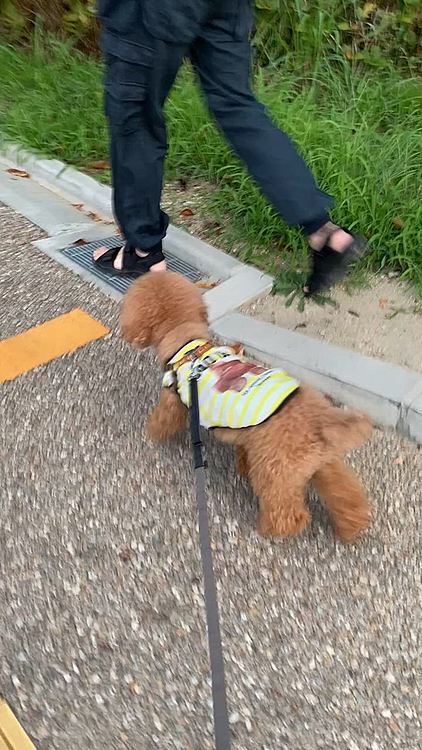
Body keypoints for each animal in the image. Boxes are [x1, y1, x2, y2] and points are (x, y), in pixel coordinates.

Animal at [119, 274, 372, 544]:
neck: (187, 344)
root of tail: (320, 420)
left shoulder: (173, 401)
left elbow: (163, 421)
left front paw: (152, 434)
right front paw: (242, 466)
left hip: (275, 470)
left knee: (288, 514)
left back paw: (269, 529)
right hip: (322, 464)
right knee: (347, 495)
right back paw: (352, 526)